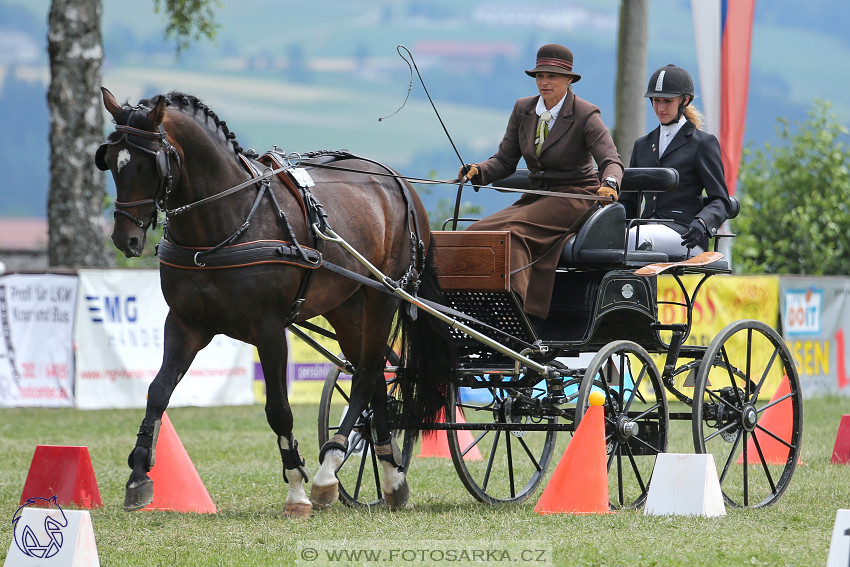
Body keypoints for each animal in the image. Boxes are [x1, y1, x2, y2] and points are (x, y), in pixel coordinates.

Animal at [95, 86, 454, 516]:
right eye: (111, 162)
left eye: (150, 165)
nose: (125, 239)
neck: (225, 222)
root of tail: (398, 183)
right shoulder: (185, 324)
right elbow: (158, 391)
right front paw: (138, 474)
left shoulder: (268, 330)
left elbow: (279, 410)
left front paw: (296, 487)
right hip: (346, 307)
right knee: (374, 380)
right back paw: (390, 476)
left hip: (382, 296)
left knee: (367, 375)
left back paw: (329, 470)